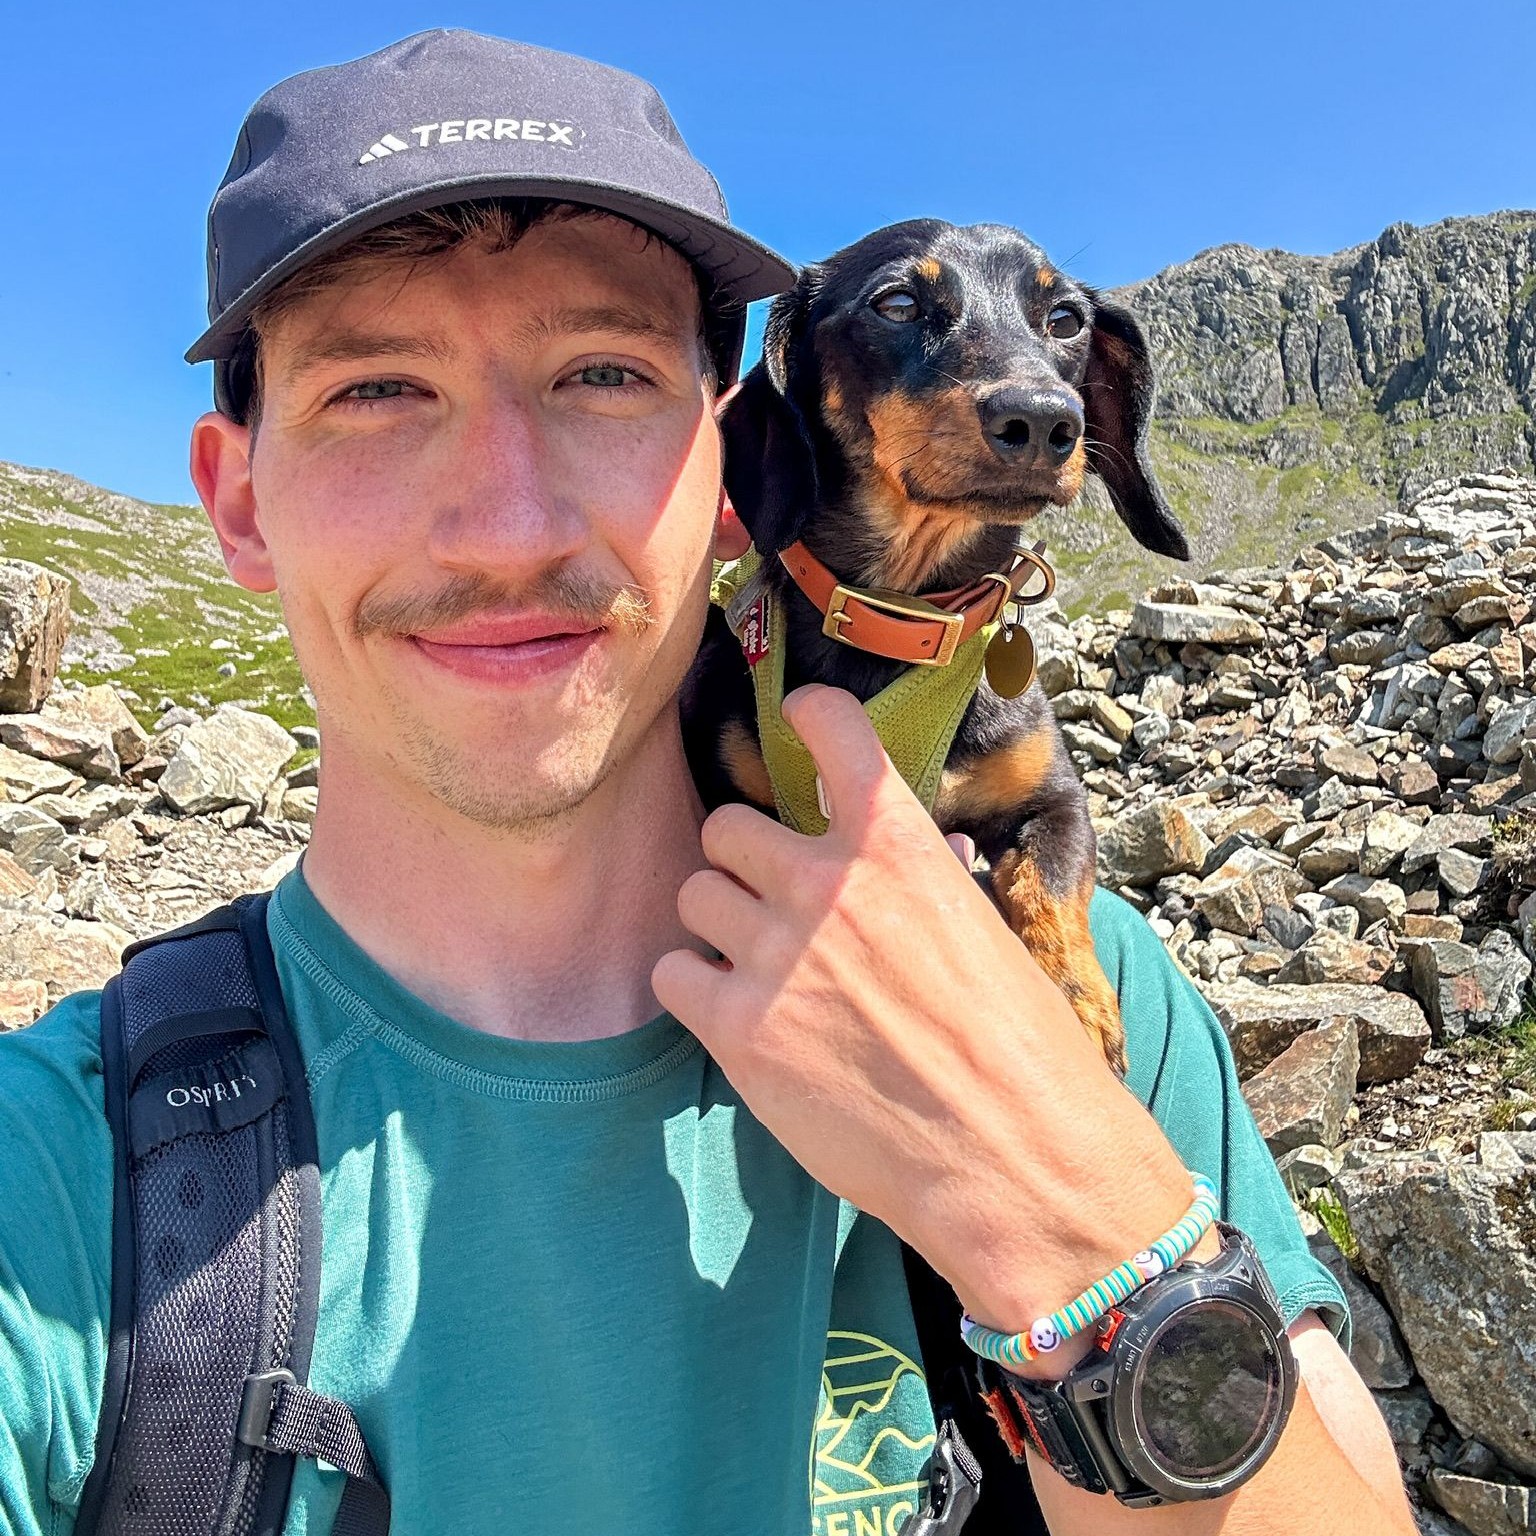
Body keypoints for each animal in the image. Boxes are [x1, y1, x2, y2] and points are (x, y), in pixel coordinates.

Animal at [682, 220, 1189, 1074]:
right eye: (897, 303)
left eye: (1065, 320)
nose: (1045, 421)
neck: (902, 618)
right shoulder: (730, 796)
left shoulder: (1054, 802)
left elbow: (1048, 890)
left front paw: (1079, 1008)